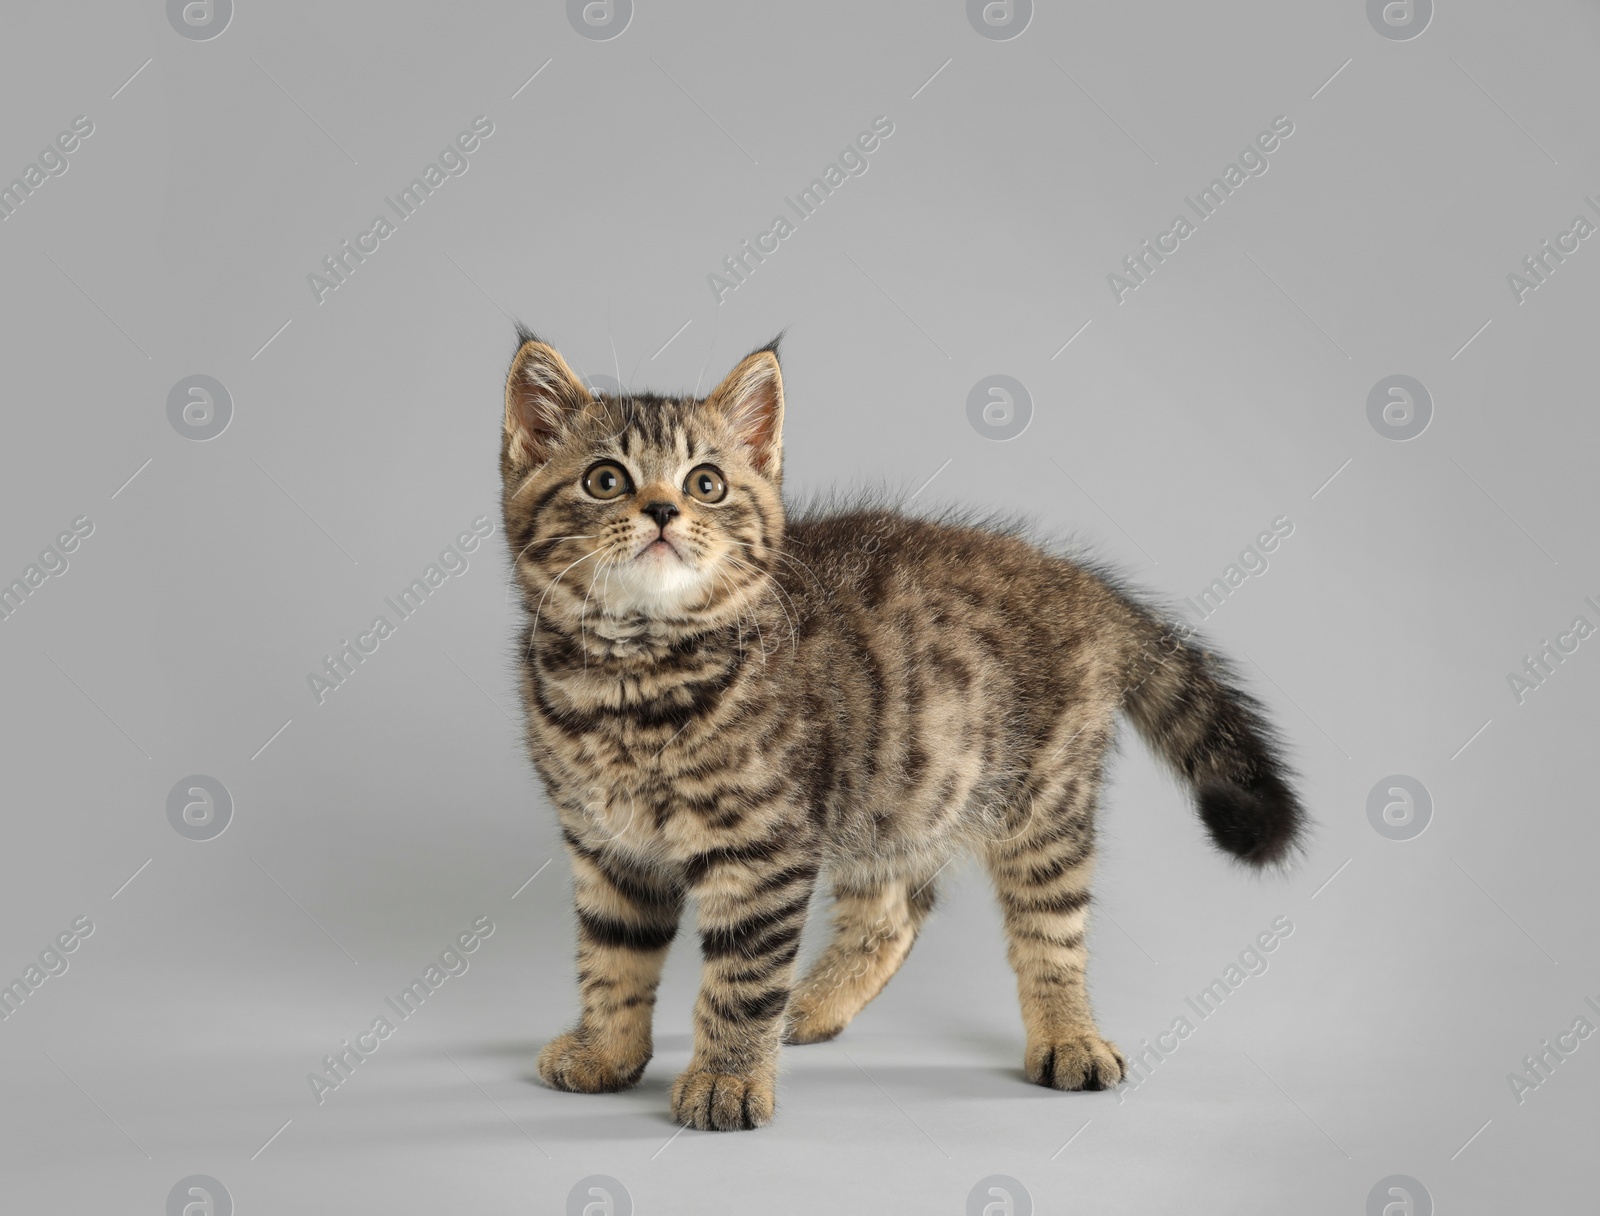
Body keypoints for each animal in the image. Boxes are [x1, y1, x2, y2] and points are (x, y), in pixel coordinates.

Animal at [499, 324, 1299, 1132]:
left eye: (706, 485)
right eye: (606, 480)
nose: (663, 511)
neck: (633, 677)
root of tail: (1085, 585)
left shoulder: (764, 849)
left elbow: (741, 978)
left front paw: (727, 1079)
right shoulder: (606, 845)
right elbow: (613, 956)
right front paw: (606, 1051)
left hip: (1041, 803)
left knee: (1052, 929)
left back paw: (1069, 1036)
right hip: (892, 790)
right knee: (895, 912)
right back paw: (812, 1006)